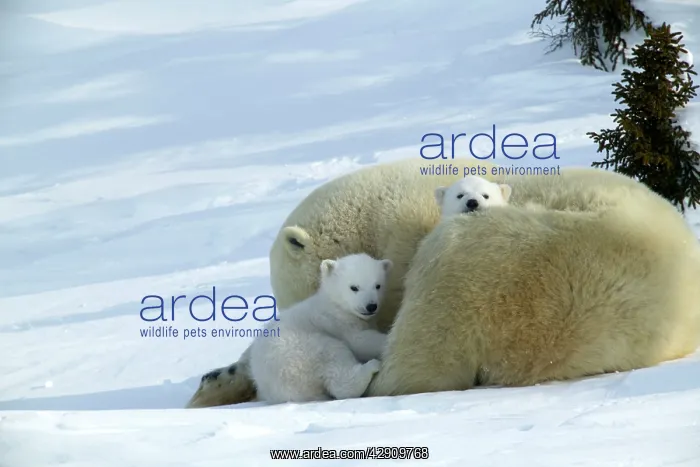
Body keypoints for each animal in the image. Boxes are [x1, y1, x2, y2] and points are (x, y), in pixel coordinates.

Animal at [249, 253, 392, 404]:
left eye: (378, 285)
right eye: (354, 287)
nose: (371, 306)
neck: (335, 304)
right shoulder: (338, 322)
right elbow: (359, 341)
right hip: (300, 350)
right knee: (334, 359)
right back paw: (371, 367)